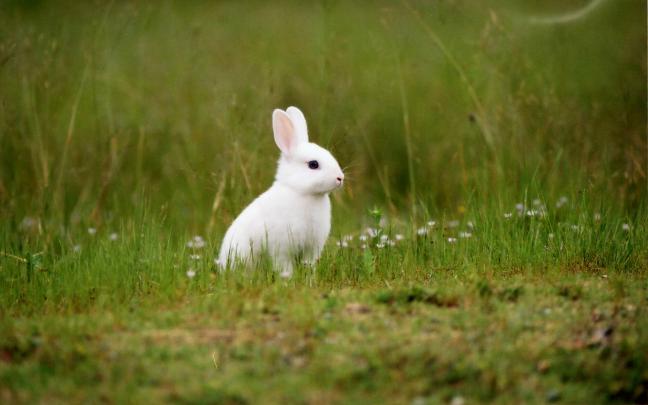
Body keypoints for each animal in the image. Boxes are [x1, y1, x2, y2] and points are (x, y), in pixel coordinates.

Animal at [217, 106, 344, 278]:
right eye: (313, 164)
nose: (340, 178)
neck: (300, 191)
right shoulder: (281, 247)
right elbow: (284, 265)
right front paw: (287, 278)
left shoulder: (312, 247)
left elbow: (309, 263)